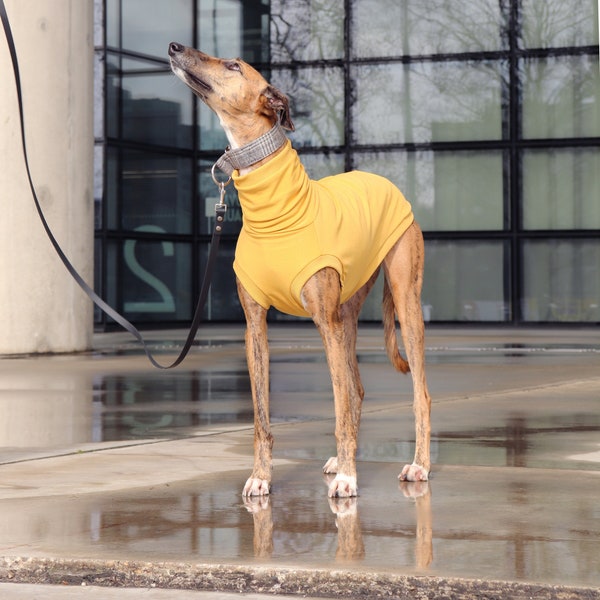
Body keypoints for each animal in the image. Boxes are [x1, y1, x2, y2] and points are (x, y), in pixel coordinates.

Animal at [169, 44, 432, 500]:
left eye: (234, 65)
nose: (175, 48)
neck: (272, 208)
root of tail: (386, 182)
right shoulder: (255, 326)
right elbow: (261, 418)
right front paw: (261, 476)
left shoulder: (325, 322)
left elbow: (339, 407)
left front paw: (349, 479)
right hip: (347, 314)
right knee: (357, 388)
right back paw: (342, 460)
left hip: (403, 301)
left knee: (418, 393)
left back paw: (418, 465)